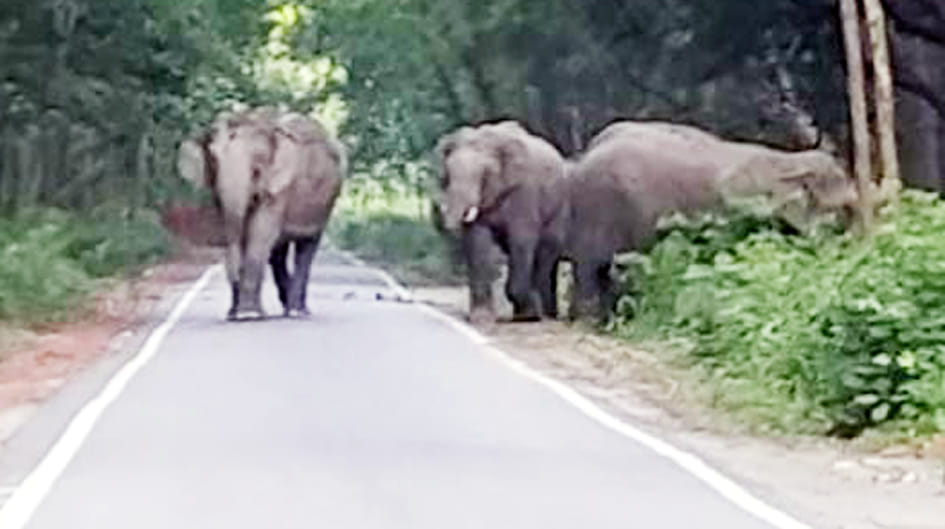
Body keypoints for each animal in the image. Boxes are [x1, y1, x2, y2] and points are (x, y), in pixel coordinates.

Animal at [177, 107, 346, 320]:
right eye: (213, 160)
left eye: (257, 169)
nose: (236, 280)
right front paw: (235, 314)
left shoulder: (280, 188)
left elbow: (259, 236)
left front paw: (248, 315)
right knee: (278, 253)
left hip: (324, 205)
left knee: (306, 247)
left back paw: (296, 311)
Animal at [436, 120, 568, 323]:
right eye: (448, 175)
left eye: (484, 174)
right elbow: (477, 242)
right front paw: (481, 318)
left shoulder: (524, 191)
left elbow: (521, 240)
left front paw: (530, 315)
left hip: (558, 207)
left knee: (545, 251)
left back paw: (540, 315)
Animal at [564, 120, 861, 321]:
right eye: (843, 208)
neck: (785, 160)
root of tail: (586, 153)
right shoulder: (738, 212)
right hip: (599, 209)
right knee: (592, 266)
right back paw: (589, 320)